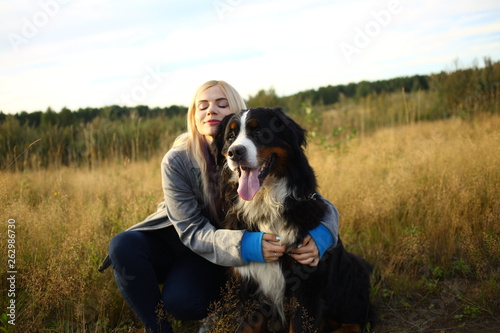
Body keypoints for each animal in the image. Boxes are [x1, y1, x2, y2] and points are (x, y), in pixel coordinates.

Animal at [211, 107, 376, 332]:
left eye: (260, 132)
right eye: (230, 136)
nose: (235, 152)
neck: (265, 205)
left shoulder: (305, 288)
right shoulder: (248, 285)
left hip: (351, 276)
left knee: (357, 321)